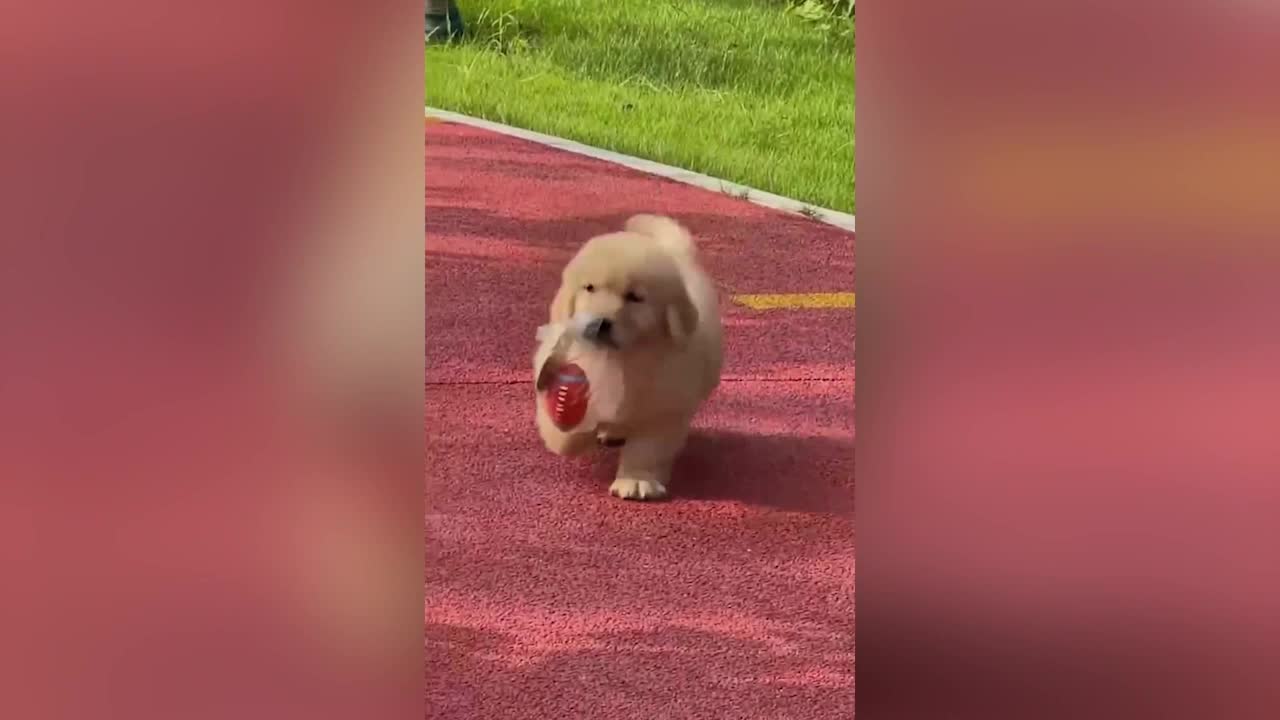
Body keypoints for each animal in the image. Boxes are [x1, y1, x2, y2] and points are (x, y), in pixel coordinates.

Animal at [535, 211, 727, 499]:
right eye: (589, 288)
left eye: (635, 297)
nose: (598, 323)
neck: (619, 359)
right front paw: (568, 435)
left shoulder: (664, 407)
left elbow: (647, 449)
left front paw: (636, 481)